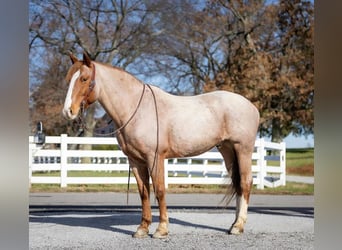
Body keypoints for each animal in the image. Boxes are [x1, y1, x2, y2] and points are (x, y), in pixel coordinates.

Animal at [62, 52, 260, 238]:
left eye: (84, 78)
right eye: (68, 78)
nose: (67, 111)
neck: (137, 109)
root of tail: (251, 106)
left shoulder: (155, 158)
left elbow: (159, 190)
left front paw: (161, 229)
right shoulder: (136, 161)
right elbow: (144, 193)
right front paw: (142, 229)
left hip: (242, 149)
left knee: (245, 182)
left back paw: (238, 226)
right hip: (227, 150)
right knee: (238, 184)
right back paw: (234, 224)